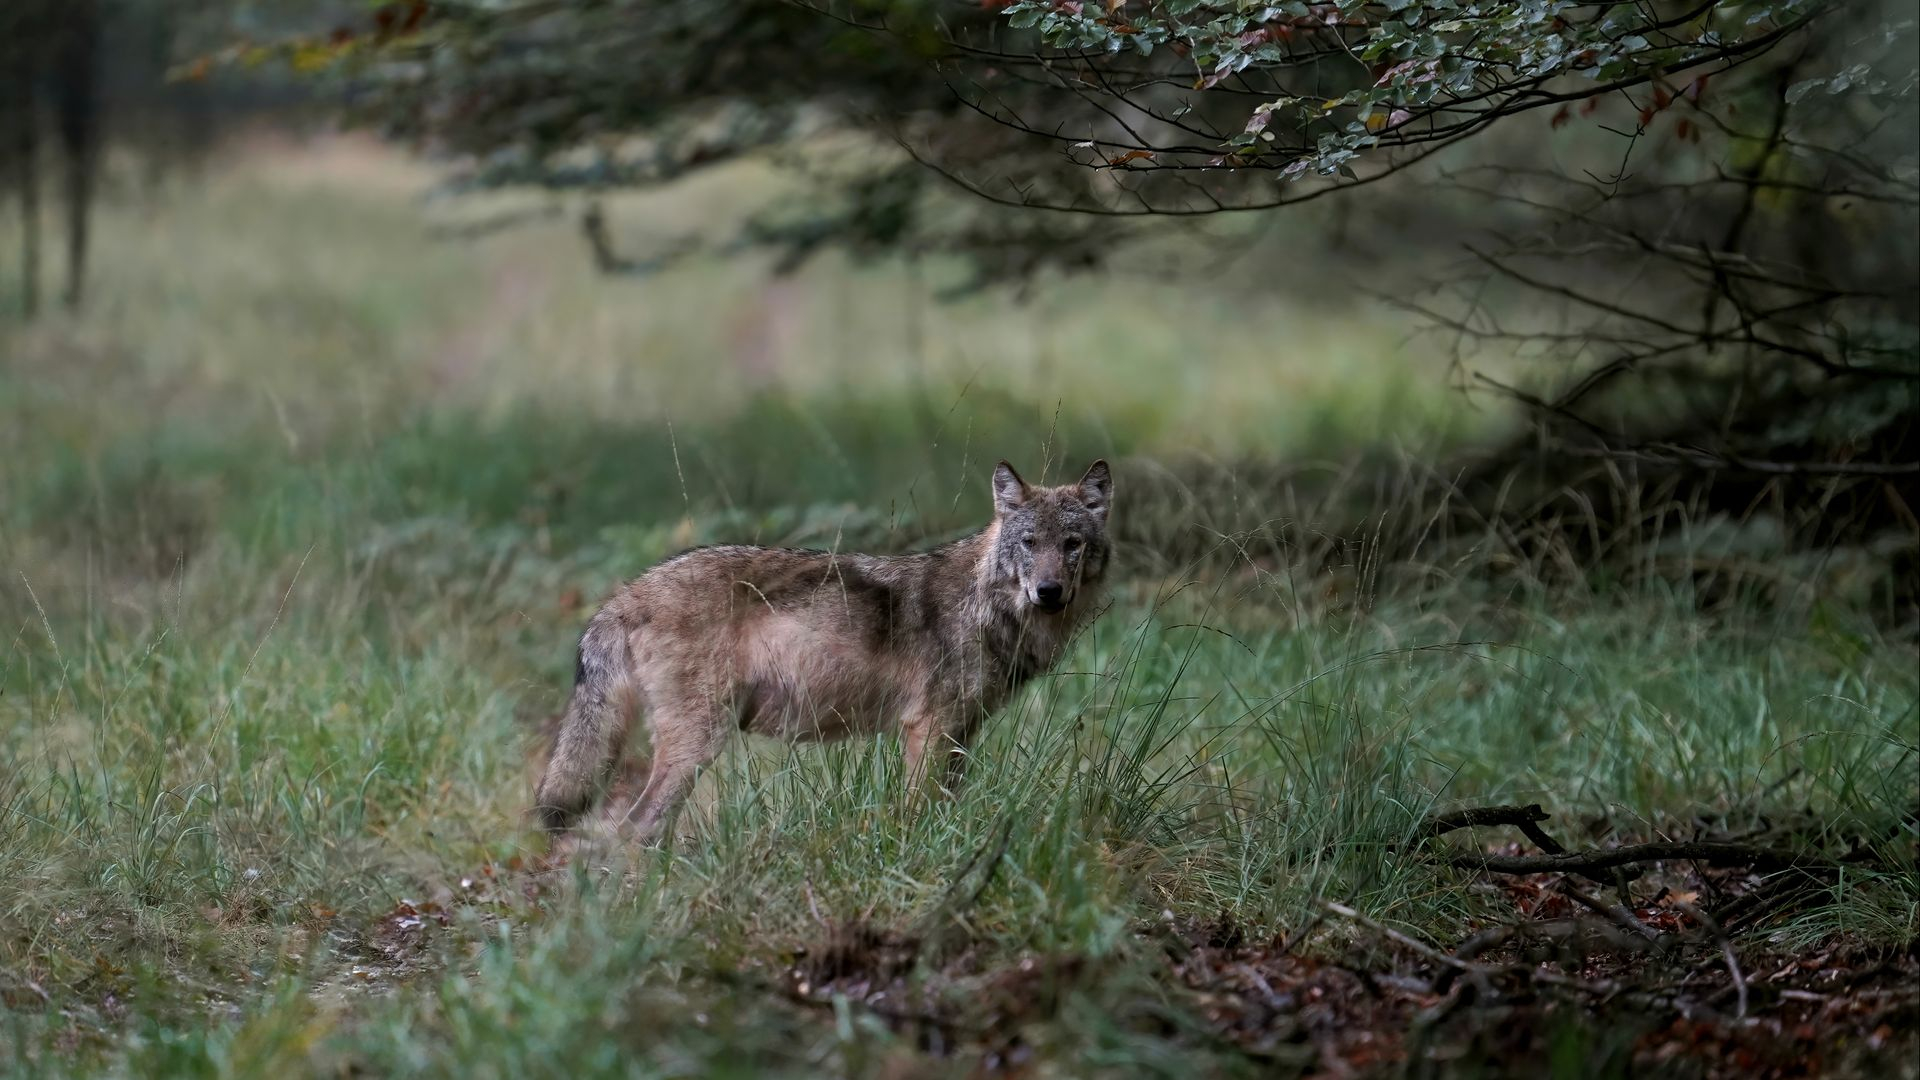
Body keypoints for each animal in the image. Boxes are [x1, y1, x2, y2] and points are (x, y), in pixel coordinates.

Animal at [534, 458, 1114, 844]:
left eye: (1072, 545)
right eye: (1029, 543)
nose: (1049, 592)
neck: (986, 606)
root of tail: (626, 593)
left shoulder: (961, 734)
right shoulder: (928, 728)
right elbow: (917, 813)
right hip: (698, 744)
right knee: (636, 828)